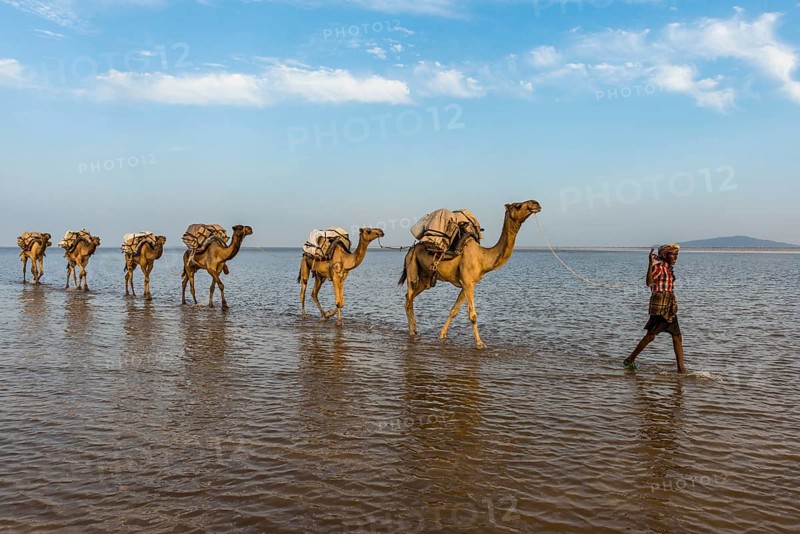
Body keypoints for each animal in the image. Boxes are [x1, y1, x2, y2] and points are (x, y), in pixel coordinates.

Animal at [399, 200, 542, 349]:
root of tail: (410, 249)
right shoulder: (468, 282)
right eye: (517, 205)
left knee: (409, 297)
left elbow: (454, 310)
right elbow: (472, 315)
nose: (535, 204)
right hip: (412, 267)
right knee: (409, 299)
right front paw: (480, 343)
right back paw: (412, 331)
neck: (483, 257)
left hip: (426, 278)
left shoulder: (467, 284)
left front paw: (442, 335)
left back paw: (415, 329)